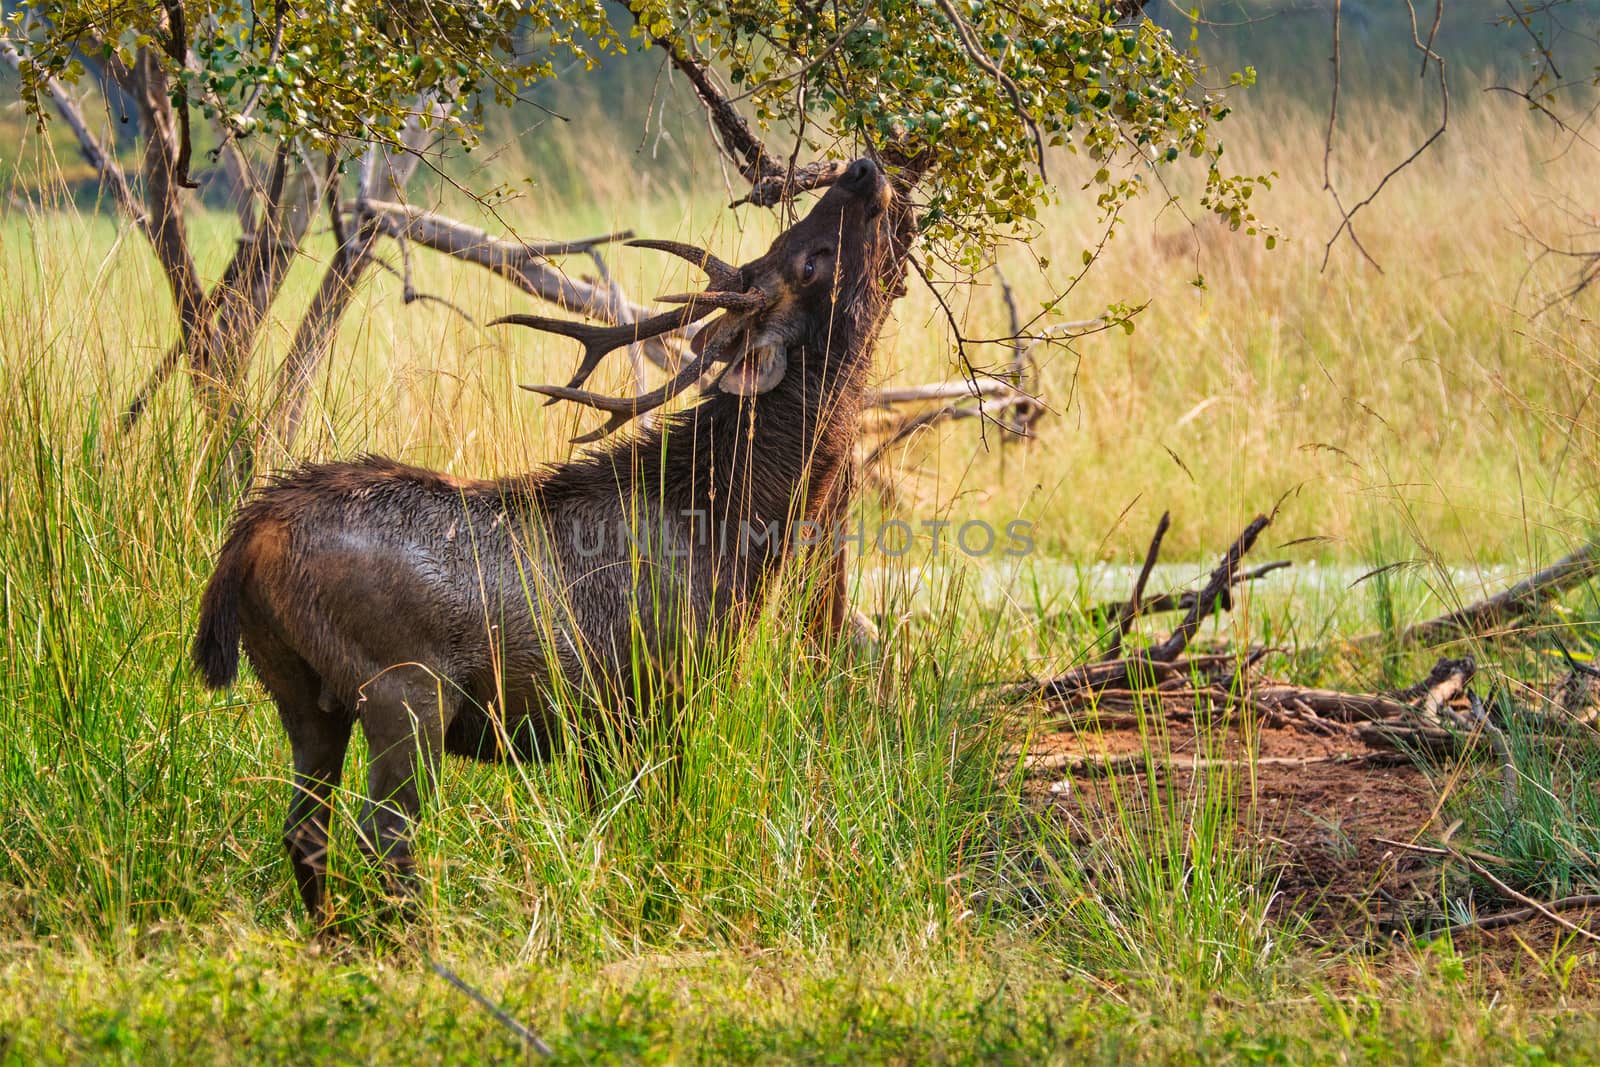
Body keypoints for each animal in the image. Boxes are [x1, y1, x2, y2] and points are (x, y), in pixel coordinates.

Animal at [188, 158, 902, 927]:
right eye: (810, 259)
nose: (864, 170)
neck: (734, 527)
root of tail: (245, 540)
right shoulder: (656, 694)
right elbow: (654, 824)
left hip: (297, 691)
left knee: (305, 829)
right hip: (404, 690)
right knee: (385, 836)